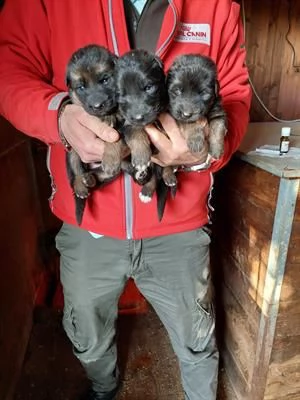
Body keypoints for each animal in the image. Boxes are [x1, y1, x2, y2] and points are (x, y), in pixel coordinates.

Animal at [66, 44, 129, 225]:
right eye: (81, 87)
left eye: (105, 80)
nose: (97, 105)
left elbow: (114, 140)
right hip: (72, 151)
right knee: (75, 171)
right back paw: (81, 185)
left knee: (104, 175)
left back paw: (91, 179)